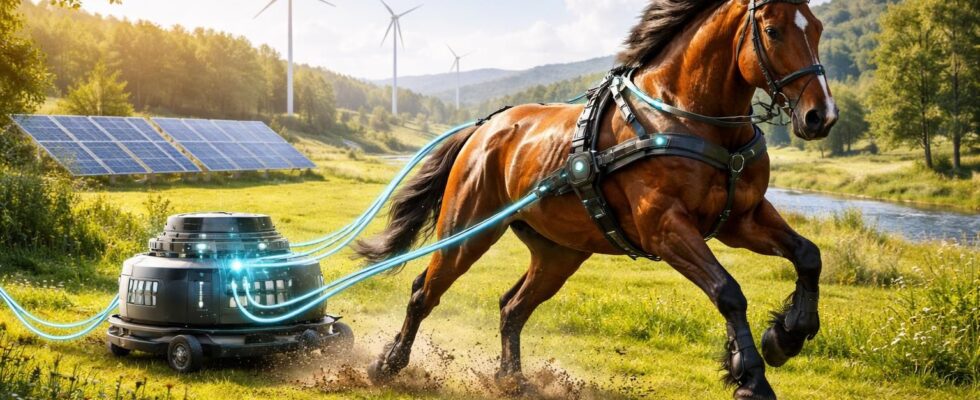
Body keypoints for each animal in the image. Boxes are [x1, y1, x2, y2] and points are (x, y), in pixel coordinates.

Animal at [356, 0, 838, 398]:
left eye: (816, 27)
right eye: (773, 31)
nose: (822, 116)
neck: (684, 117)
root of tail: (484, 128)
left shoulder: (744, 218)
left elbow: (808, 255)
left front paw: (786, 335)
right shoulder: (665, 228)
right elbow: (728, 291)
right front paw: (751, 377)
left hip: (559, 252)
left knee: (512, 307)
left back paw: (511, 379)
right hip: (468, 231)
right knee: (424, 292)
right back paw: (389, 364)